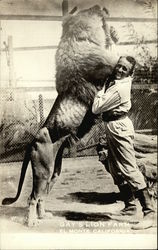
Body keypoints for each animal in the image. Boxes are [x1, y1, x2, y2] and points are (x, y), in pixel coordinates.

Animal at [2, 4, 118, 227]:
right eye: (90, 10)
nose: (101, 7)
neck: (79, 38)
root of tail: (32, 141)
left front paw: (114, 35)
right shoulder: (100, 74)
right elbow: (115, 62)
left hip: (54, 170)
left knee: (41, 196)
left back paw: (43, 216)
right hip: (43, 169)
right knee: (32, 197)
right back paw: (31, 222)